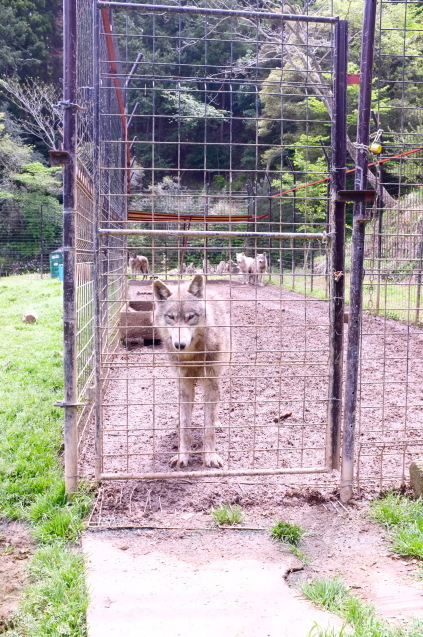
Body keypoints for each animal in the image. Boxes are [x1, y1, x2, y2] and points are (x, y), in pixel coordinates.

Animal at [153, 274, 230, 468]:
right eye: (171, 317)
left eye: (191, 317)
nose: (179, 345)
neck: (192, 355)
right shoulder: (184, 384)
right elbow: (186, 426)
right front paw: (183, 456)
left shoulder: (210, 382)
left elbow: (208, 427)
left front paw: (210, 456)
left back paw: (217, 421)